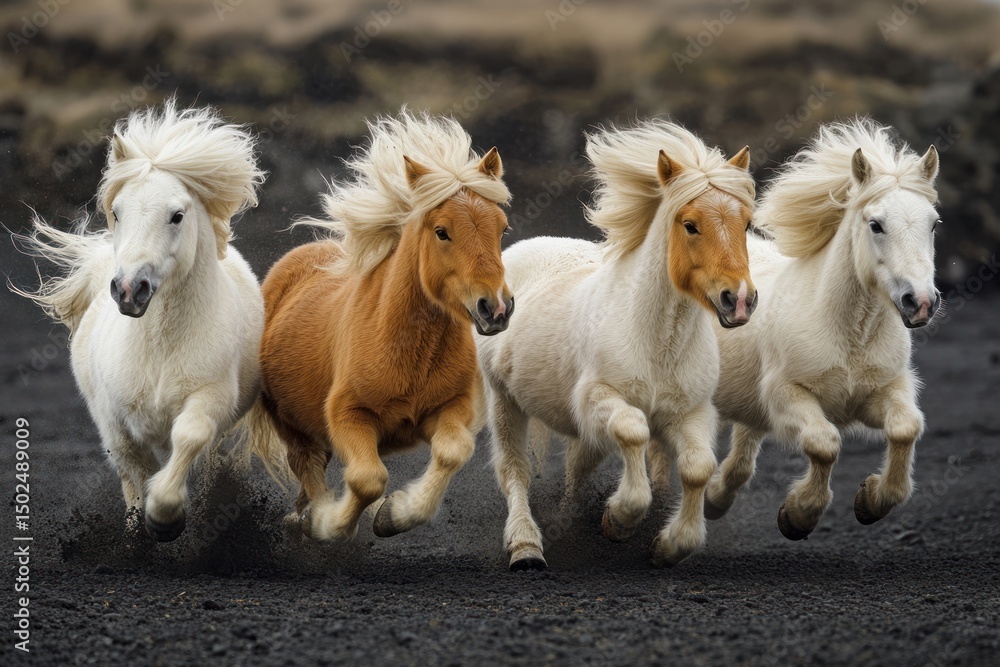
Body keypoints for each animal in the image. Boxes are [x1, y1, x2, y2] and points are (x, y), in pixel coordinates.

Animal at [11, 99, 286, 541]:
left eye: (176, 215)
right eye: (116, 212)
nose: (129, 289)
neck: (160, 344)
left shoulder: (210, 397)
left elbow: (190, 438)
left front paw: (165, 517)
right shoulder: (115, 421)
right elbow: (133, 468)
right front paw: (140, 532)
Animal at [251, 111, 513, 542]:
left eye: (502, 227)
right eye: (442, 231)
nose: (496, 308)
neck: (408, 346)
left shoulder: (451, 407)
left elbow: (453, 452)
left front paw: (395, 513)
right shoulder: (348, 415)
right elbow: (368, 478)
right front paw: (330, 523)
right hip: (290, 421)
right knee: (307, 464)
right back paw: (309, 516)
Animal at [476, 119, 757, 570]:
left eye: (746, 223)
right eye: (690, 224)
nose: (741, 299)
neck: (657, 340)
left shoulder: (690, 412)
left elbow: (698, 466)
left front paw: (671, 545)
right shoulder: (599, 399)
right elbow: (633, 430)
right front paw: (621, 519)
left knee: (576, 471)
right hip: (504, 401)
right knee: (514, 471)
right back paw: (526, 547)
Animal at [686, 118, 941, 540]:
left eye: (934, 224)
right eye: (876, 224)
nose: (920, 302)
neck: (848, 332)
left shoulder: (884, 390)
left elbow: (907, 427)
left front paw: (871, 501)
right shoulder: (787, 396)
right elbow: (825, 443)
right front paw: (798, 515)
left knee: (740, 459)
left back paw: (715, 500)